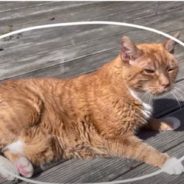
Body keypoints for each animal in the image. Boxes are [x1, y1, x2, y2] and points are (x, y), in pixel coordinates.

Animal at [0, 33, 184, 180]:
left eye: (170, 69)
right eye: (149, 71)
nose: (166, 84)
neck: (135, 93)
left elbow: (150, 120)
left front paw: (168, 121)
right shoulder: (115, 138)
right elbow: (146, 150)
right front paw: (169, 162)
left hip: (43, 148)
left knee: (10, 150)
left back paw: (22, 166)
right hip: (29, 109)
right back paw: (10, 170)